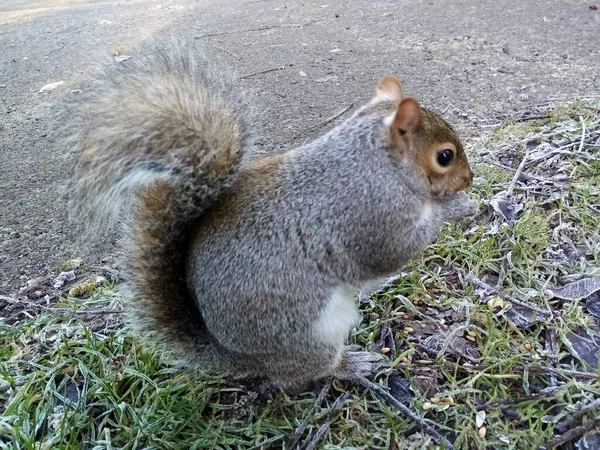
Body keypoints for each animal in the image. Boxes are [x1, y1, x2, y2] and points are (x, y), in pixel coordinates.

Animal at [67, 41, 478, 386]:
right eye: (444, 156)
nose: (469, 178)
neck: (376, 163)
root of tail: (237, 357)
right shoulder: (369, 215)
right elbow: (391, 252)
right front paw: (456, 207)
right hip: (311, 334)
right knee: (308, 371)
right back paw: (352, 364)